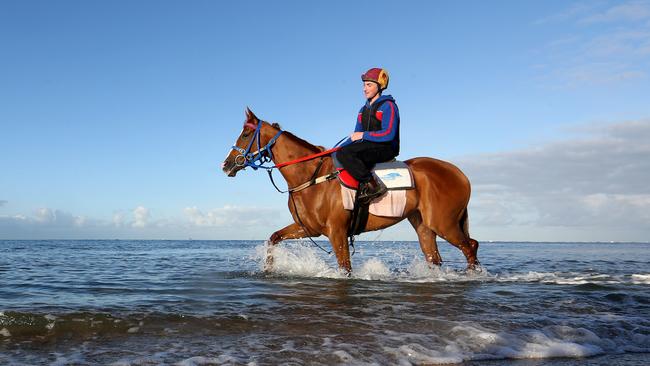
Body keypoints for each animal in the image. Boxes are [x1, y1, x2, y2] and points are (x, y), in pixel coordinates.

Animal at [220, 107, 478, 274]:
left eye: (245, 134)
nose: (226, 164)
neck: (311, 176)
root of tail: (460, 174)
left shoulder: (337, 232)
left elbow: (344, 269)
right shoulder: (309, 228)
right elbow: (273, 238)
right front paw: (268, 268)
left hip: (443, 223)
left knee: (470, 246)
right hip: (423, 225)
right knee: (436, 257)